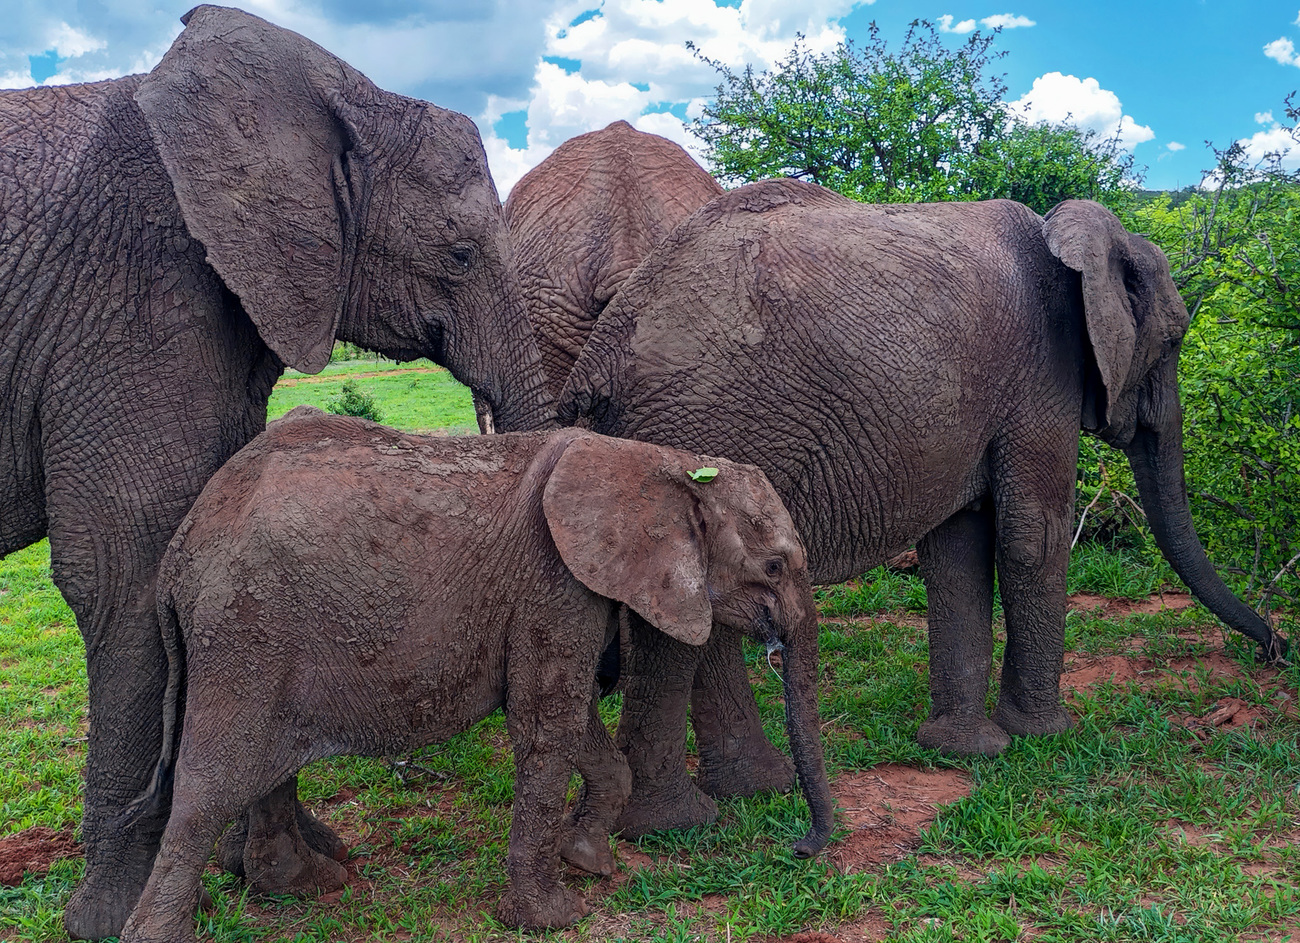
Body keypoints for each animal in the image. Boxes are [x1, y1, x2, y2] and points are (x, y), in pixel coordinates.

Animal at [0, 5, 551, 936]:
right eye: (460, 254)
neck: (331, 84)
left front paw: (285, 871)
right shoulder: (130, 289)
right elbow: (128, 567)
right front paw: (116, 917)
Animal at [115, 408, 832, 939]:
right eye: (773, 566)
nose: (799, 849)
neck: (660, 462)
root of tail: (181, 549)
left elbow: (573, 724)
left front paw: (590, 860)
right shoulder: (552, 580)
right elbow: (546, 727)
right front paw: (553, 918)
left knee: (266, 771)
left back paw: (309, 885)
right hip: (244, 630)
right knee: (209, 788)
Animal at [558, 177, 1287, 834]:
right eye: (1174, 340)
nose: (1275, 650)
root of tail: (597, 361)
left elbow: (958, 546)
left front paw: (965, 750)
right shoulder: (1042, 375)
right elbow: (1035, 535)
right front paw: (1046, 735)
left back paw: (752, 790)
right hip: (695, 423)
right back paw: (677, 825)